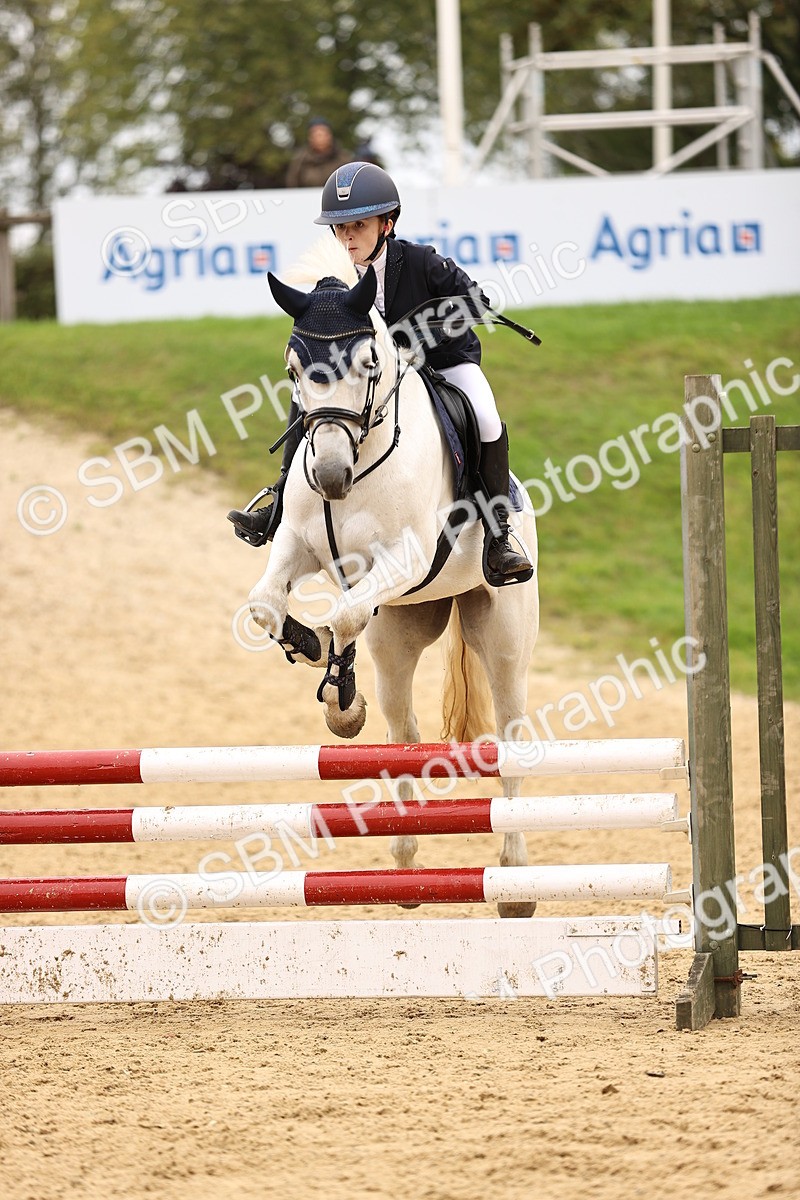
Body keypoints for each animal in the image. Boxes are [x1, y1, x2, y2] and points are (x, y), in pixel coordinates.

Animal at [247, 236, 540, 917]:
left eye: (368, 362)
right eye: (293, 370)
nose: (329, 477)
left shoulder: (403, 559)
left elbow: (346, 612)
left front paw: (335, 689)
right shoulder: (298, 545)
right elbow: (270, 606)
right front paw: (334, 688)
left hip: (503, 638)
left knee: (510, 738)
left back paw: (514, 882)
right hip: (403, 633)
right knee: (403, 731)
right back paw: (405, 861)